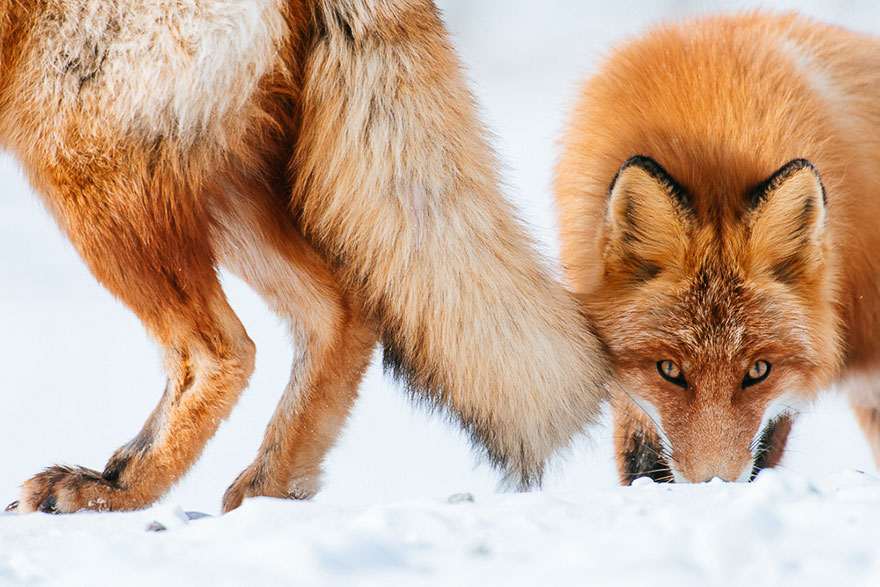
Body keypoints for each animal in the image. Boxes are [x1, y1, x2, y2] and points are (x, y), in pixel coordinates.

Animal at [0, 0, 608, 516]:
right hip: (227, 183)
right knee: (340, 312)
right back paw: (267, 493)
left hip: (77, 161)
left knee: (222, 351)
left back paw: (116, 488)